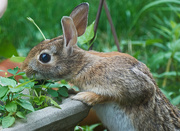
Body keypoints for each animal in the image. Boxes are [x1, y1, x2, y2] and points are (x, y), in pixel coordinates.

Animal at [21, 2, 180, 131]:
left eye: (44, 57)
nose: (24, 70)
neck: (82, 65)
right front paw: (72, 91)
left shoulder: (132, 85)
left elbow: (111, 95)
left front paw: (84, 96)